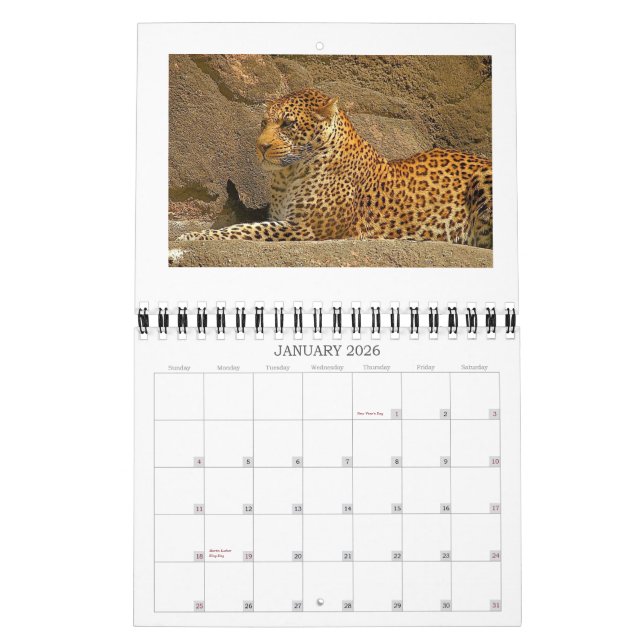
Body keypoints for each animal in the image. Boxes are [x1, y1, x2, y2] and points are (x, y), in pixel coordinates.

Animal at [177, 88, 492, 248]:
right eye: (263, 123)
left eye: (287, 124)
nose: (261, 146)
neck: (288, 175)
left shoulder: (305, 228)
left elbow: (242, 230)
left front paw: (193, 236)